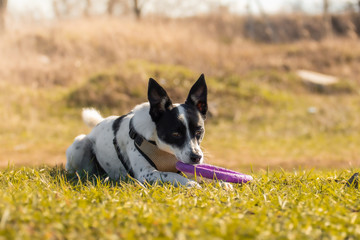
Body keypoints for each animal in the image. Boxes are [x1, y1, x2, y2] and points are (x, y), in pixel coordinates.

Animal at [66, 74, 221, 188]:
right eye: (175, 134)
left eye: (199, 132)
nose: (196, 157)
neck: (163, 150)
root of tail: (97, 124)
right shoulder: (146, 174)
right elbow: (172, 175)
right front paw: (190, 184)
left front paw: (220, 183)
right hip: (80, 144)